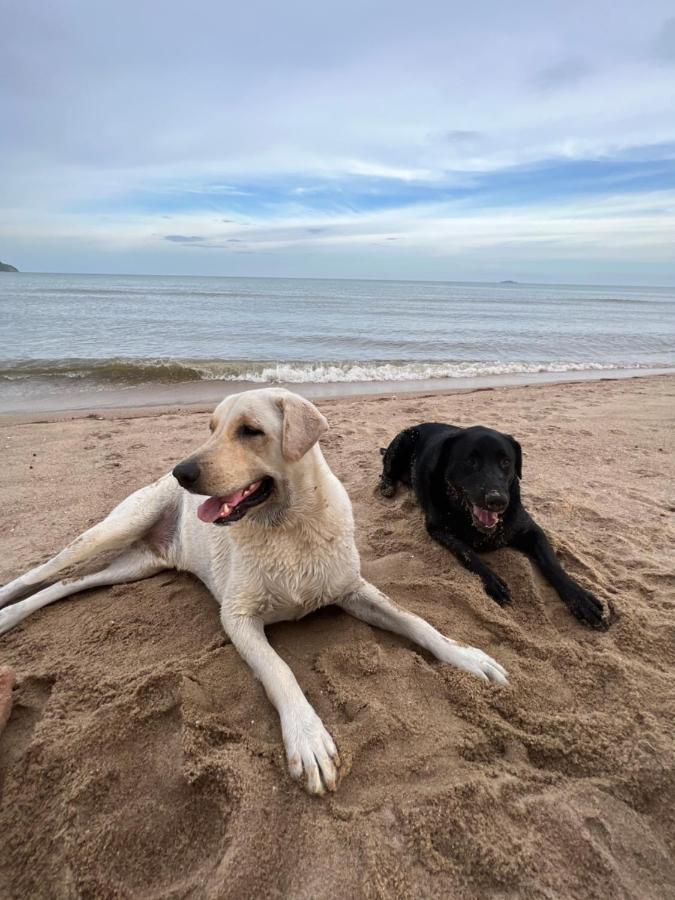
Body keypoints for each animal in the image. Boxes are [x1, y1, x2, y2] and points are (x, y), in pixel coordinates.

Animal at [0, 386, 508, 796]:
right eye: (211, 428)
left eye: (250, 431)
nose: (182, 471)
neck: (290, 527)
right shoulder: (238, 616)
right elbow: (280, 671)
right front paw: (308, 739)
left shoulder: (354, 589)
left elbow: (419, 622)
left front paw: (469, 658)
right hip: (114, 529)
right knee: (39, 574)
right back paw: (6, 610)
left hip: (134, 566)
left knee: (66, 583)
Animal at [380, 424, 608, 628]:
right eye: (470, 461)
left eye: (506, 462)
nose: (497, 501)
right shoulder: (438, 529)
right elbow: (468, 553)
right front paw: (492, 581)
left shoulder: (531, 529)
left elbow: (552, 563)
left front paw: (580, 598)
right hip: (402, 441)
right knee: (385, 469)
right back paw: (387, 485)